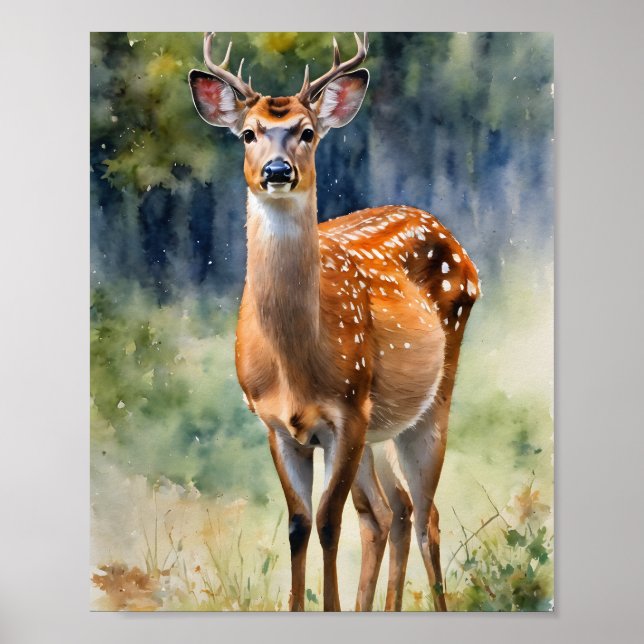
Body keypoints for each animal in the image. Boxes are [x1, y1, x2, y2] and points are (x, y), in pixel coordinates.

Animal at [189, 32, 479, 612]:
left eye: (307, 132)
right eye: (248, 134)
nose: (278, 171)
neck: (298, 365)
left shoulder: (347, 415)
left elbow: (328, 522)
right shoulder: (276, 424)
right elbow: (300, 523)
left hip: (428, 402)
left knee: (424, 514)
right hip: (380, 429)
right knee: (391, 512)